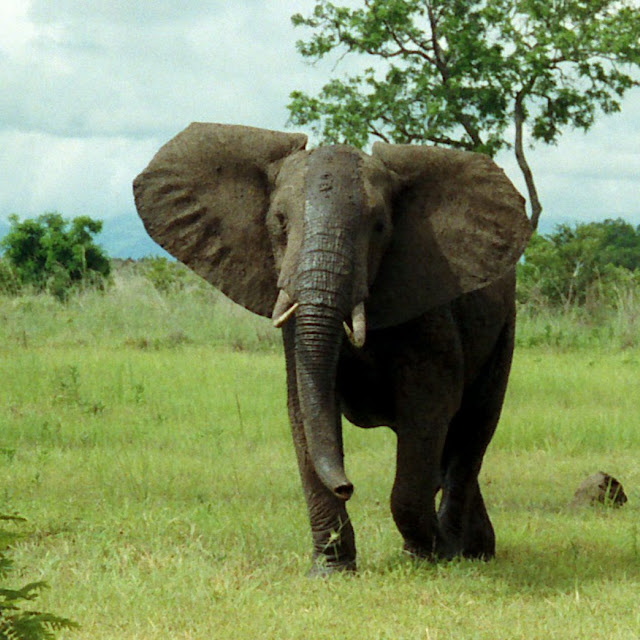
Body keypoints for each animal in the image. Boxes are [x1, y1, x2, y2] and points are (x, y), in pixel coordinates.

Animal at [134, 122, 528, 572]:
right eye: (279, 222)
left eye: (380, 227)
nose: (346, 486)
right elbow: (303, 407)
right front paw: (330, 570)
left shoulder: (429, 306)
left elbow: (429, 405)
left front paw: (429, 557)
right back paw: (474, 548)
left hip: (506, 327)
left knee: (472, 430)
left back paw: (464, 551)